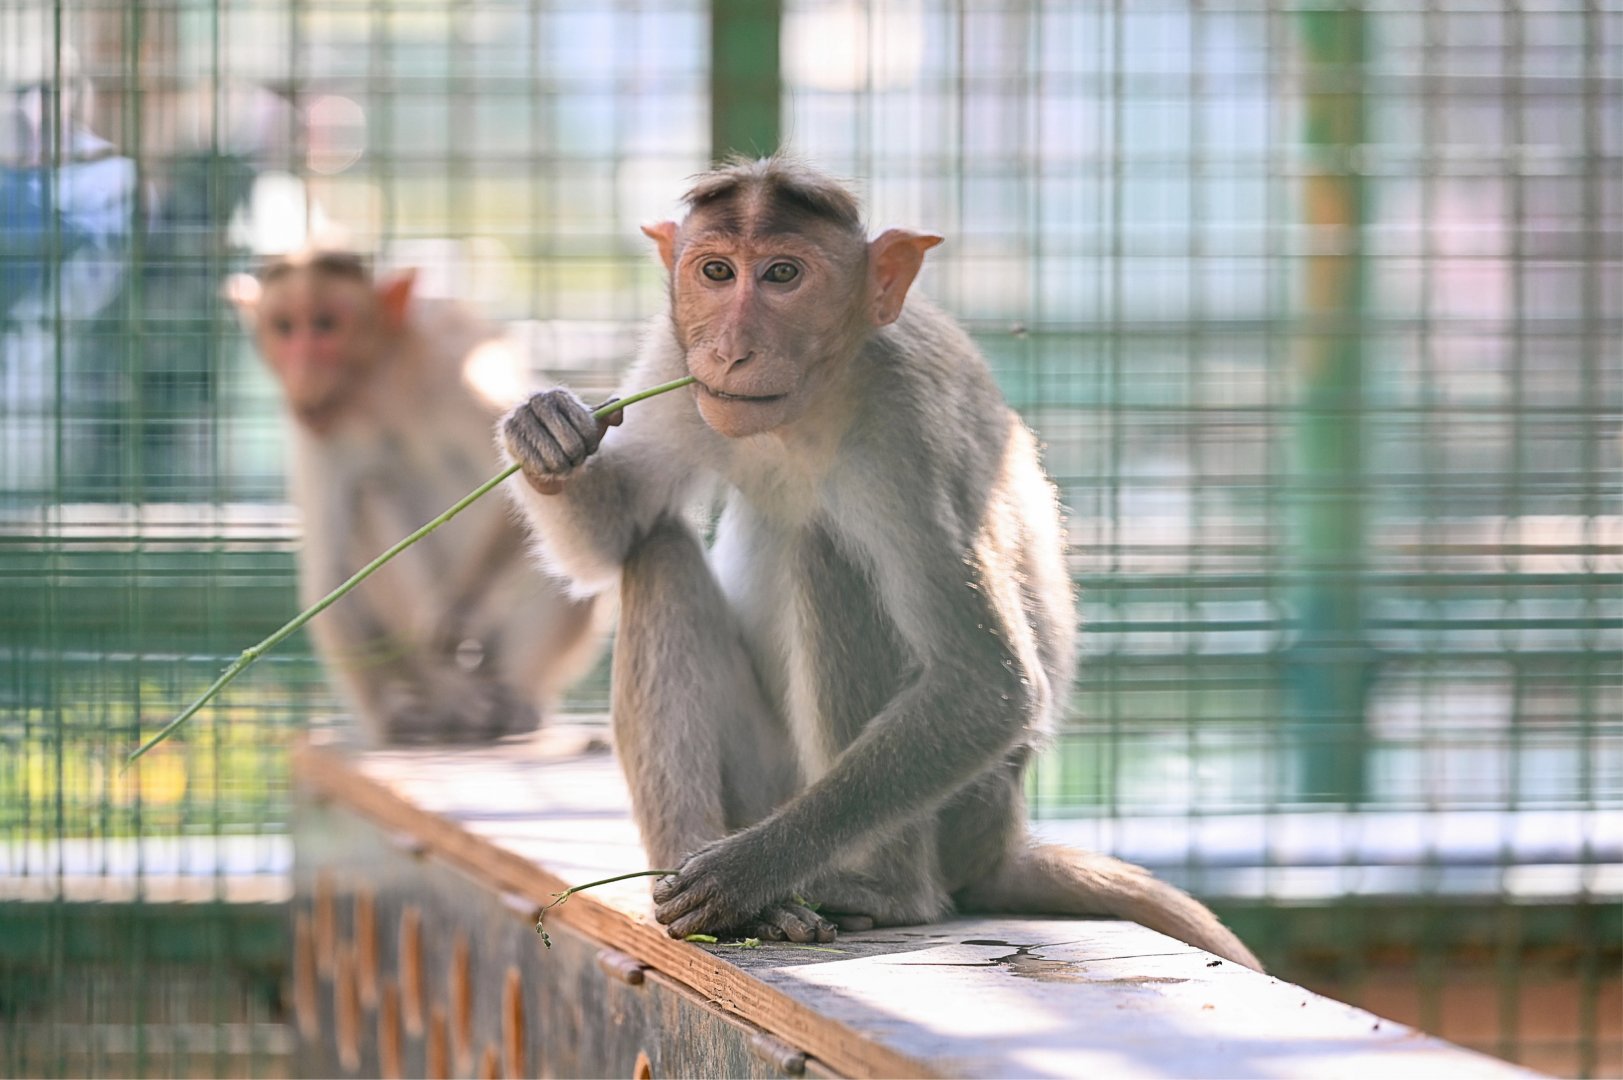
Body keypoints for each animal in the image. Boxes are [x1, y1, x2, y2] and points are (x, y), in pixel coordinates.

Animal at [230, 250, 605, 744]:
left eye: (326, 325)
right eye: (284, 327)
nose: (302, 370)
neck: (377, 378)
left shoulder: (447, 361)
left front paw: (458, 609)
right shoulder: (318, 426)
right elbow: (328, 576)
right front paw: (392, 719)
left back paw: (513, 701)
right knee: (365, 502)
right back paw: (450, 703)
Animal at [498, 158, 1262, 970]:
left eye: (782, 274)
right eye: (715, 271)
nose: (732, 348)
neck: (806, 407)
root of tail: (1003, 842)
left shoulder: (907, 429)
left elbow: (985, 683)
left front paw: (747, 871)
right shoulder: (679, 367)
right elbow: (615, 531)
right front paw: (545, 434)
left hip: (964, 814)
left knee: (826, 555)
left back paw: (876, 890)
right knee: (660, 551)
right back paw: (685, 866)